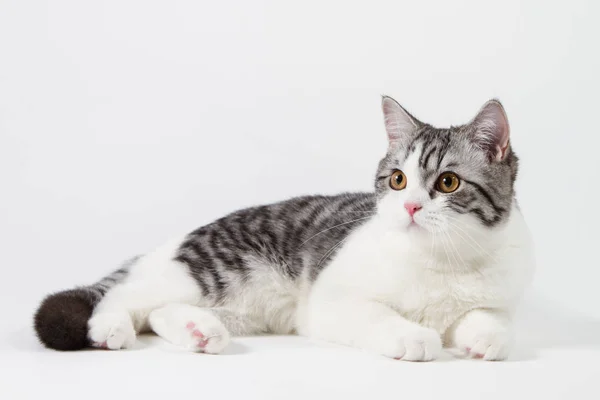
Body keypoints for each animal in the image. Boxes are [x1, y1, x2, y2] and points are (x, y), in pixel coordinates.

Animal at [34, 95, 536, 360]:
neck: (442, 260)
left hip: (244, 307)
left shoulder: (499, 298)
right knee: (124, 295)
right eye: (398, 180)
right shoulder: (331, 300)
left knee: (158, 312)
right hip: (209, 271)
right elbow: (381, 315)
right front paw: (413, 335)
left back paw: (199, 331)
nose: (410, 206)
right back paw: (109, 327)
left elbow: (494, 322)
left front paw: (482, 339)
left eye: (448, 182)